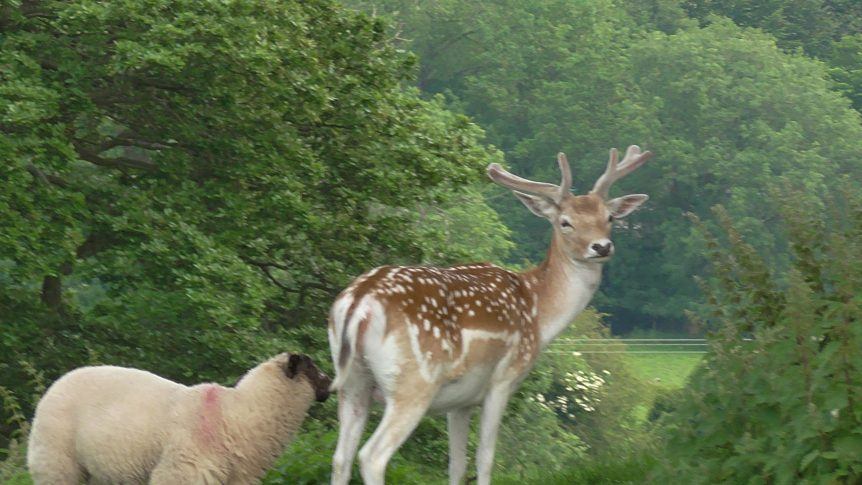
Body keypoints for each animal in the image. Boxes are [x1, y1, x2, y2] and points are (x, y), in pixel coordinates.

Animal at [27, 353, 331, 484]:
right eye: (312, 367)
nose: (330, 382)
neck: (239, 415)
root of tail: (56, 384)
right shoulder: (184, 469)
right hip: (57, 458)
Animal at [328, 145, 654, 485]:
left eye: (609, 217)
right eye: (565, 222)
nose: (601, 247)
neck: (538, 313)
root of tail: (359, 303)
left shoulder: (459, 402)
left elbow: (456, 465)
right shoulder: (503, 379)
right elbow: (485, 458)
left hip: (353, 383)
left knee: (340, 457)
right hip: (412, 382)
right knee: (372, 456)